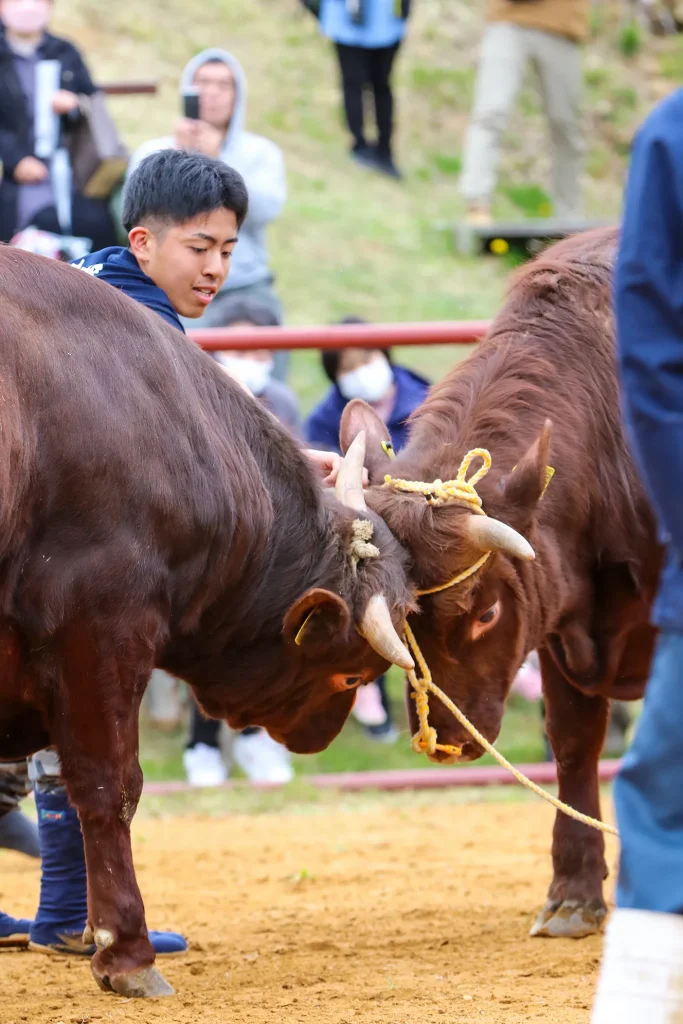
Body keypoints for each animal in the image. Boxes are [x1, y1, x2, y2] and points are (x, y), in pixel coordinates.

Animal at [342, 228, 655, 937]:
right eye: (398, 622)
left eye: (484, 614)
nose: (446, 745)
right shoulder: (564, 627)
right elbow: (573, 742)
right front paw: (574, 893)